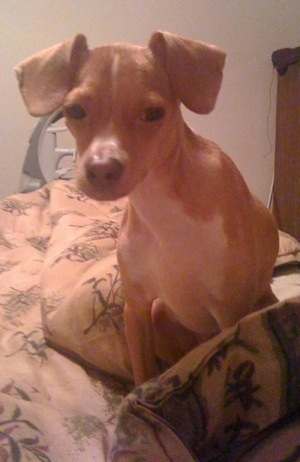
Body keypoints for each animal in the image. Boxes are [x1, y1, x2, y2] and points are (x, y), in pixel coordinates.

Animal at [15, 32, 278, 384]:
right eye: (73, 109)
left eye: (154, 113)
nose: (101, 169)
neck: (161, 207)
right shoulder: (137, 309)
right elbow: (143, 375)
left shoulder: (230, 315)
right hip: (159, 316)